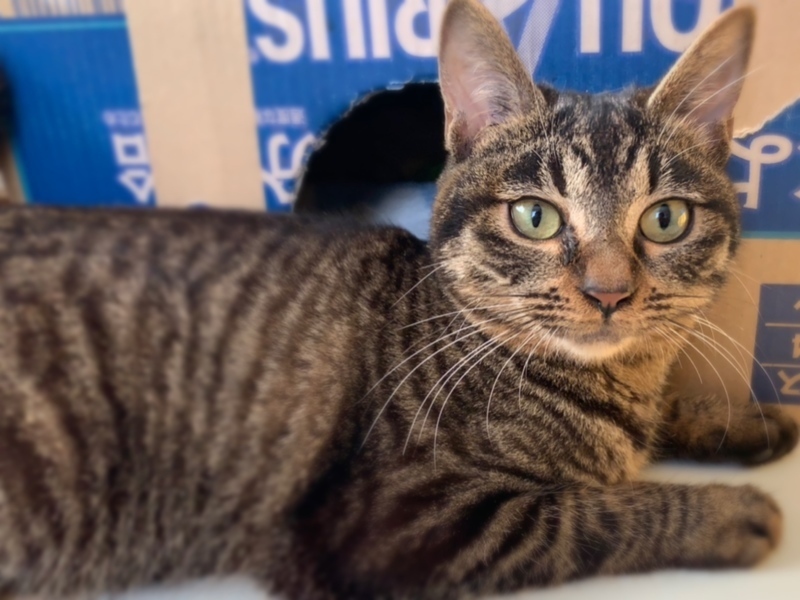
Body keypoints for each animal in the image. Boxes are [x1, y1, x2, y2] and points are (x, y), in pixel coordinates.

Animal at [0, 1, 796, 599]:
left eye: (665, 220)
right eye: (534, 216)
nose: (608, 292)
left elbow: (664, 417)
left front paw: (743, 418)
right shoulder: (394, 524)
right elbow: (588, 514)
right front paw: (729, 514)